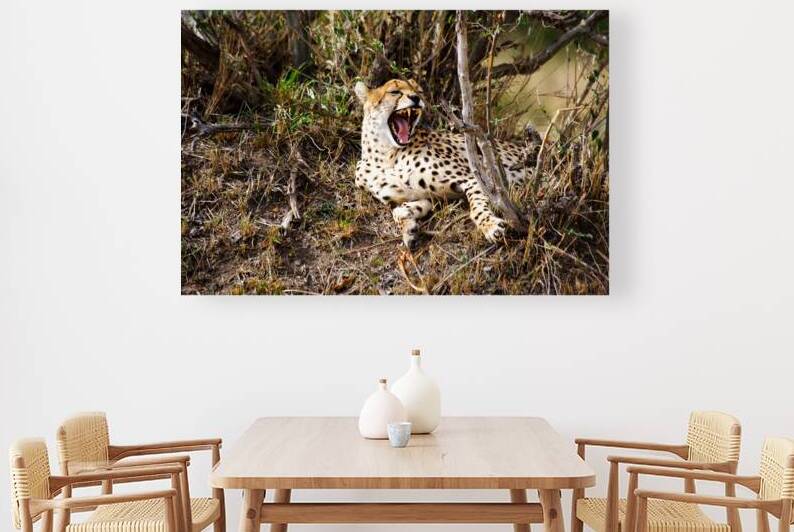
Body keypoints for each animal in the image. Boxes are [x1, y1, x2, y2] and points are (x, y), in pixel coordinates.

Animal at [353, 78, 533, 249]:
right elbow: (398, 211)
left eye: (417, 91)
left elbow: (476, 208)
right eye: (394, 91)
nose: (416, 98)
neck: (386, 155)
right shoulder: (428, 197)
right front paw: (408, 230)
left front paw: (489, 226)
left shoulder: (474, 178)